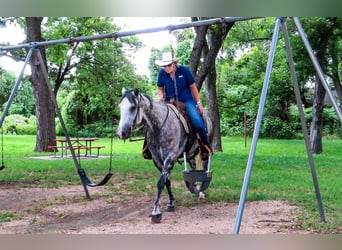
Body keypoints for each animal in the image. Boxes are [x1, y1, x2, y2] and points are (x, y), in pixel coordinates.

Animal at [116, 88, 212, 223]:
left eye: (133, 107)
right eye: (120, 107)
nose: (121, 133)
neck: (158, 127)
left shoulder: (170, 157)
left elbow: (161, 182)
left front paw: (156, 212)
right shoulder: (157, 160)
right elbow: (167, 181)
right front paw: (171, 203)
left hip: (203, 151)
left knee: (204, 167)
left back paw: (202, 193)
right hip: (190, 154)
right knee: (194, 167)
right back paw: (195, 187)